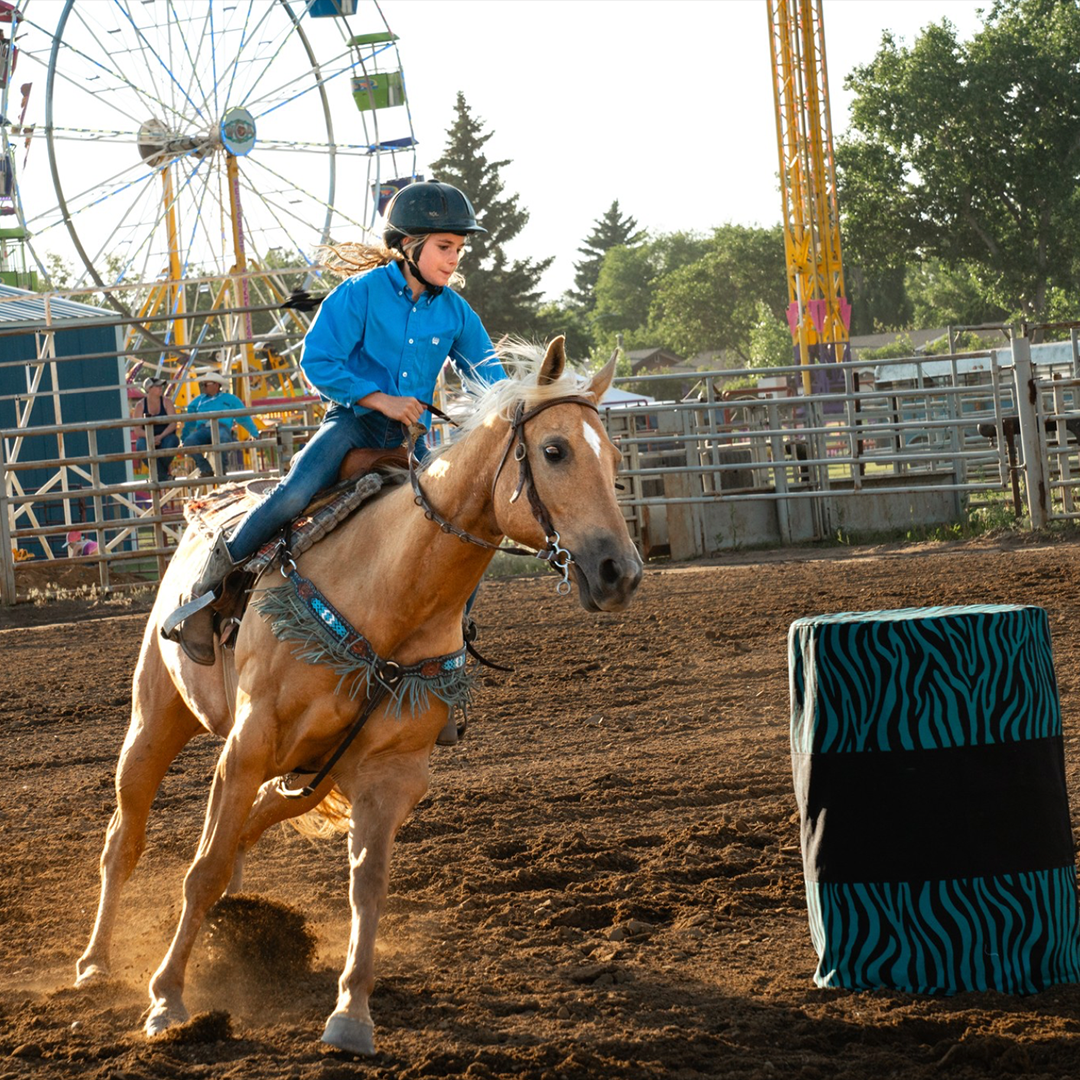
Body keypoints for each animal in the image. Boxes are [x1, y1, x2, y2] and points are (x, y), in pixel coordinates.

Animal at [74, 336, 643, 1055]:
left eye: (615, 457)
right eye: (556, 450)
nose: (619, 572)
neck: (392, 589)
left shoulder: (389, 774)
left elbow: (367, 888)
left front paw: (351, 1014)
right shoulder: (252, 740)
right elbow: (199, 872)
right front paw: (166, 1000)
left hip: (309, 769)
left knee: (248, 819)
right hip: (157, 720)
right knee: (125, 837)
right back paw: (94, 964)